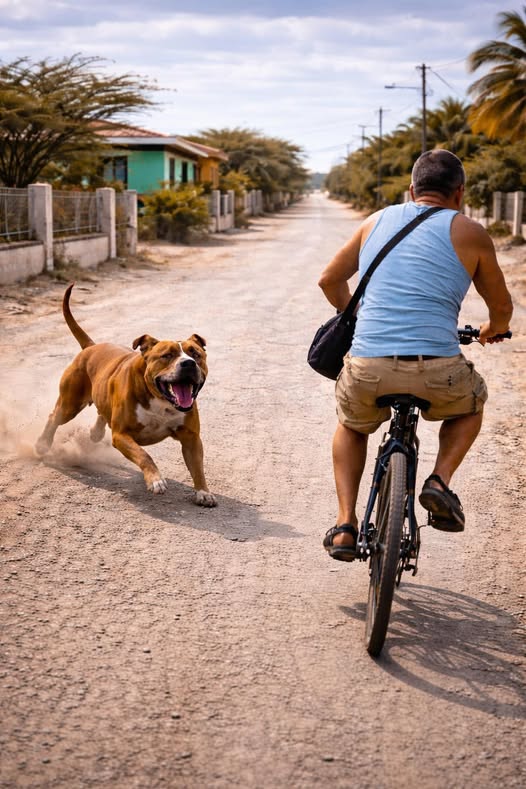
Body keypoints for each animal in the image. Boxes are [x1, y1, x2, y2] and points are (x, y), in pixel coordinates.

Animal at [36, 283, 217, 506]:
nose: (188, 363)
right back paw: (42, 444)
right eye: (167, 355)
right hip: (70, 403)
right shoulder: (121, 435)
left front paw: (203, 492)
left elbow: (198, 467)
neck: (161, 401)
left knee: (101, 412)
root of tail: (91, 346)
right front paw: (155, 480)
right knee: (54, 417)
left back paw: (96, 432)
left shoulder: (191, 438)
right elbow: (144, 455)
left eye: (196, 354)